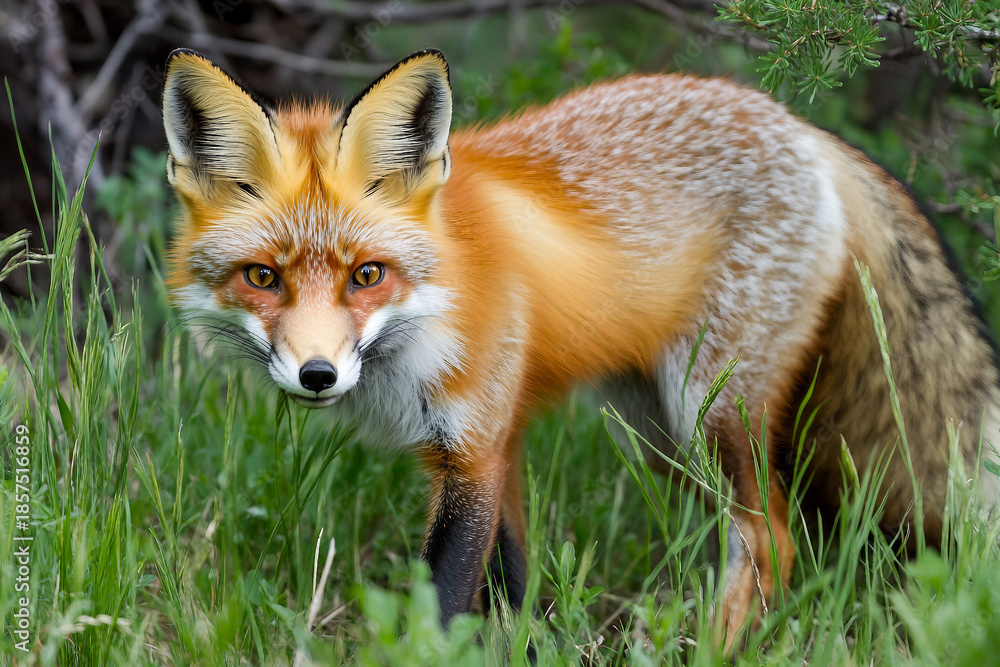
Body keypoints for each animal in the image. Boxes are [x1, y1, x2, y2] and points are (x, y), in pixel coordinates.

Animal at [161, 47, 1000, 650]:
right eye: (263, 277)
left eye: (367, 274)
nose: (318, 374)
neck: (441, 292)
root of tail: (804, 128)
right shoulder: (489, 445)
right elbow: (511, 585)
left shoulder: (473, 444)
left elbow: (444, 600)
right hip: (658, 433)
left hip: (710, 412)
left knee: (771, 542)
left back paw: (714, 648)